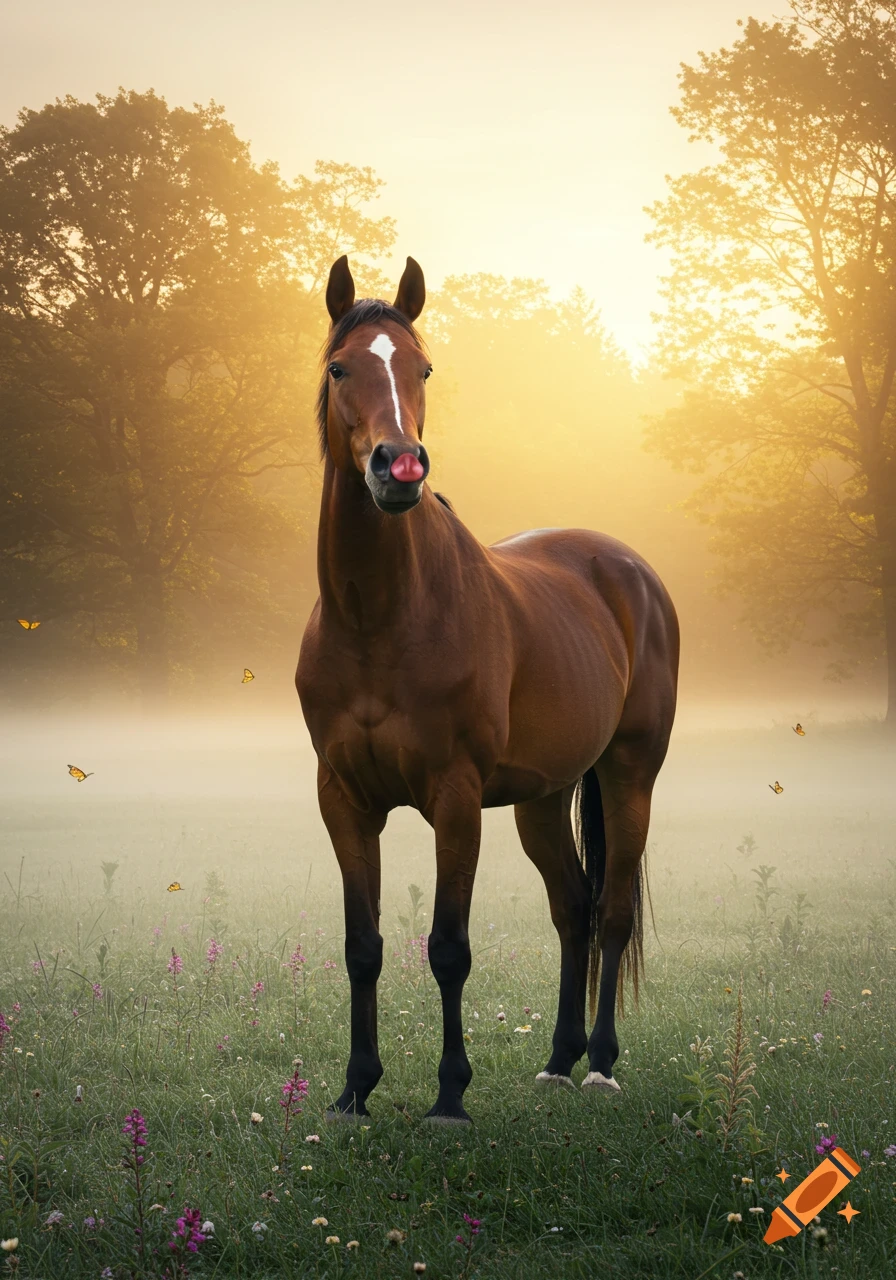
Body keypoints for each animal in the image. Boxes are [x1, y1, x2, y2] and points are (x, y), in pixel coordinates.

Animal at [296, 255, 679, 1123]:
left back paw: (600, 1064)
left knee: (610, 911)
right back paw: (558, 1060)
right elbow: (362, 946)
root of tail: (628, 569)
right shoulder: (343, 799)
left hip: (630, 773)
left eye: (423, 367)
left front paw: (448, 1097)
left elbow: (448, 948)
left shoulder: (455, 797)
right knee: (572, 908)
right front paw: (354, 1090)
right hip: (544, 796)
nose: (399, 468)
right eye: (340, 368)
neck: (379, 618)